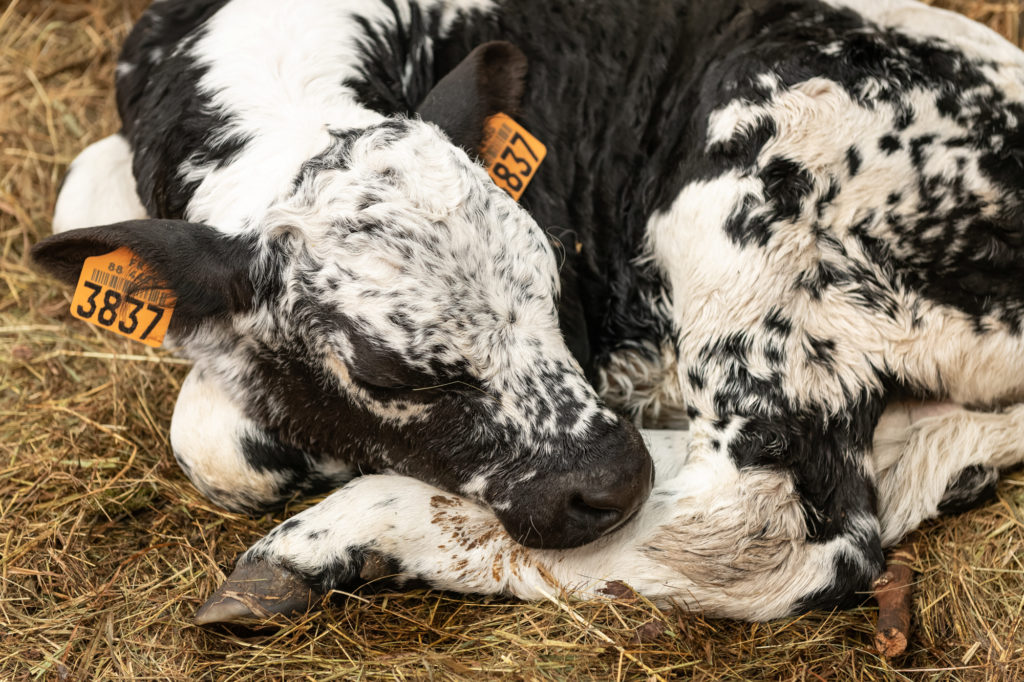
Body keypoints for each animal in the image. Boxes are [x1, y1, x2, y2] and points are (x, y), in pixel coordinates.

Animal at [34, 0, 1024, 622]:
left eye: (553, 277)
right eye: (386, 371)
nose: (615, 482)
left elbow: (210, 432)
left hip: (755, 196)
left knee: (766, 520)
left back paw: (334, 539)